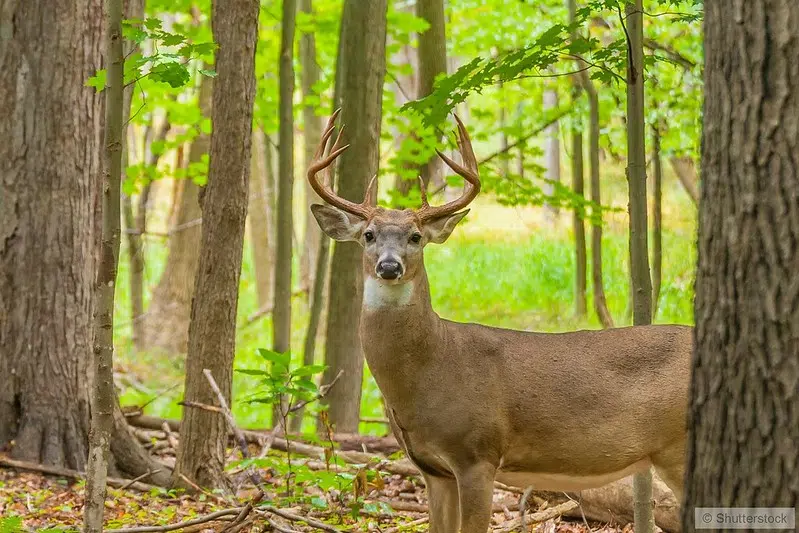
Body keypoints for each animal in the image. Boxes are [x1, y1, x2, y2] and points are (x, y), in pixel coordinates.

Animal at [308, 109, 692, 532]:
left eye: (415, 237)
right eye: (368, 235)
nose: (389, 266)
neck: (433, 364)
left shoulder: (477, 453)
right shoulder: (432, 469)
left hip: (678, 446)